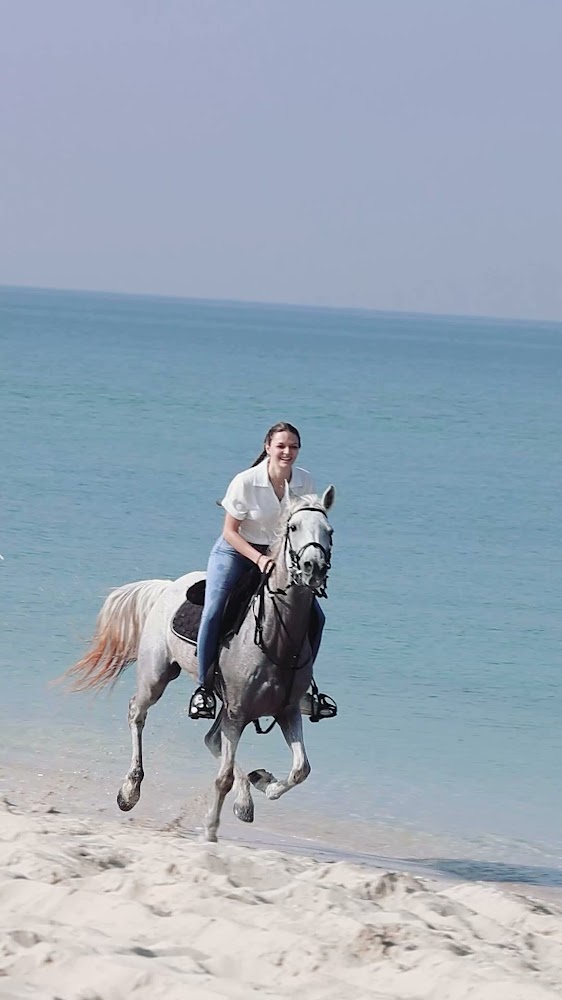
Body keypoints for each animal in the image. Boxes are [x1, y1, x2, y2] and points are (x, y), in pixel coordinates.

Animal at [66, 487, 335, 842]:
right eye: (293, 527)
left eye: (329, 531)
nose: (313, 567)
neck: (277, 637)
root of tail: (168, 587)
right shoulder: (237, 711)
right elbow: (223, 777)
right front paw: (209, 831)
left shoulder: (286, 711)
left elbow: (301, 769)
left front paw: (265, 783)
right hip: (156, 675)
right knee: (137, 712)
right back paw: (130, 791)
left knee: (212, 739)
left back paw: (246, 799)